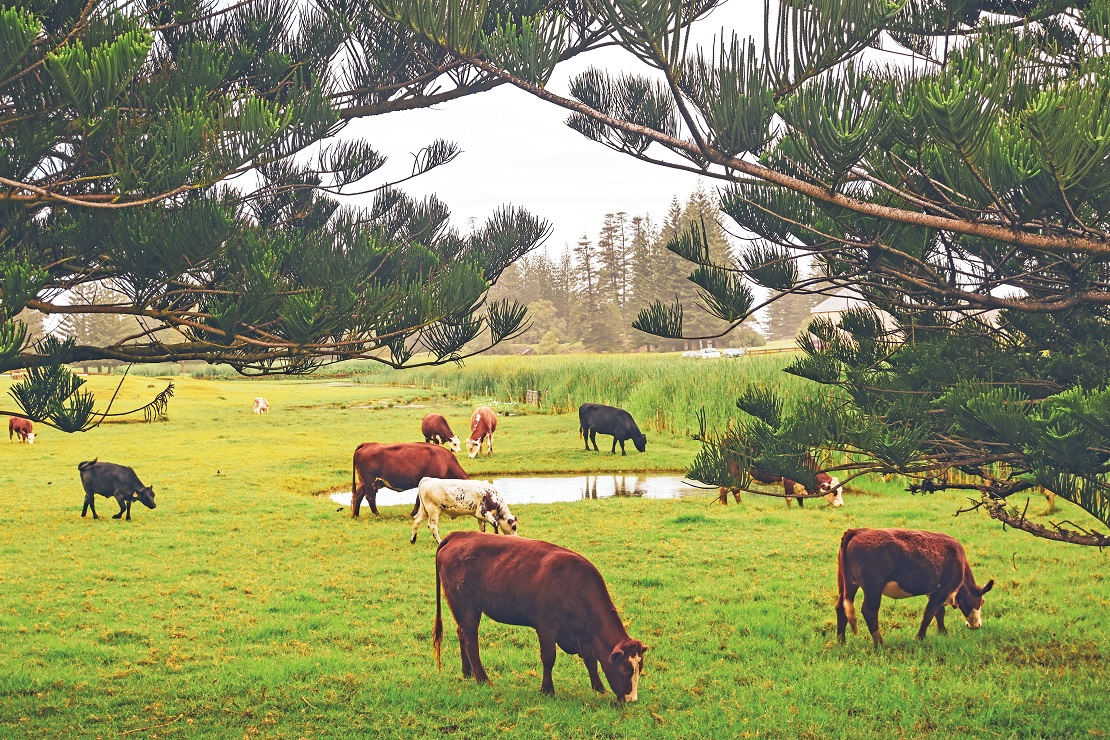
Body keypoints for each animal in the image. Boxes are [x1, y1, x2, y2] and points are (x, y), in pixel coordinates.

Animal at [428, 532, 648, 701]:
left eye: (640, 668)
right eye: (626, 670)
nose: (632, 700)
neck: (576, 586)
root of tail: (459, 535)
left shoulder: (584, 633)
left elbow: (591, 660)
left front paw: (599, 688)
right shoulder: (547, 627)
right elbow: (549, 658)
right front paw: (547, 690)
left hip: (472, 609)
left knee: (462, 635)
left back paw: (467, 673)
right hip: (464, 605)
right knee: (471, 642)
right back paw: (482, 679)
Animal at [834, 525, 999, 647]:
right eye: (981, 601)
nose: (977, 625)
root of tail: (858, 531)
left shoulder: (935, 591)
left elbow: (939, 613)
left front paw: (942, 632)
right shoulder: (943, 590)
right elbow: (929, 613)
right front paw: (920, 637)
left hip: (848, 584)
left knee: (840, 607)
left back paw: (841, 641)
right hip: (873, 586)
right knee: (869, 610)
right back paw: (880, 643)